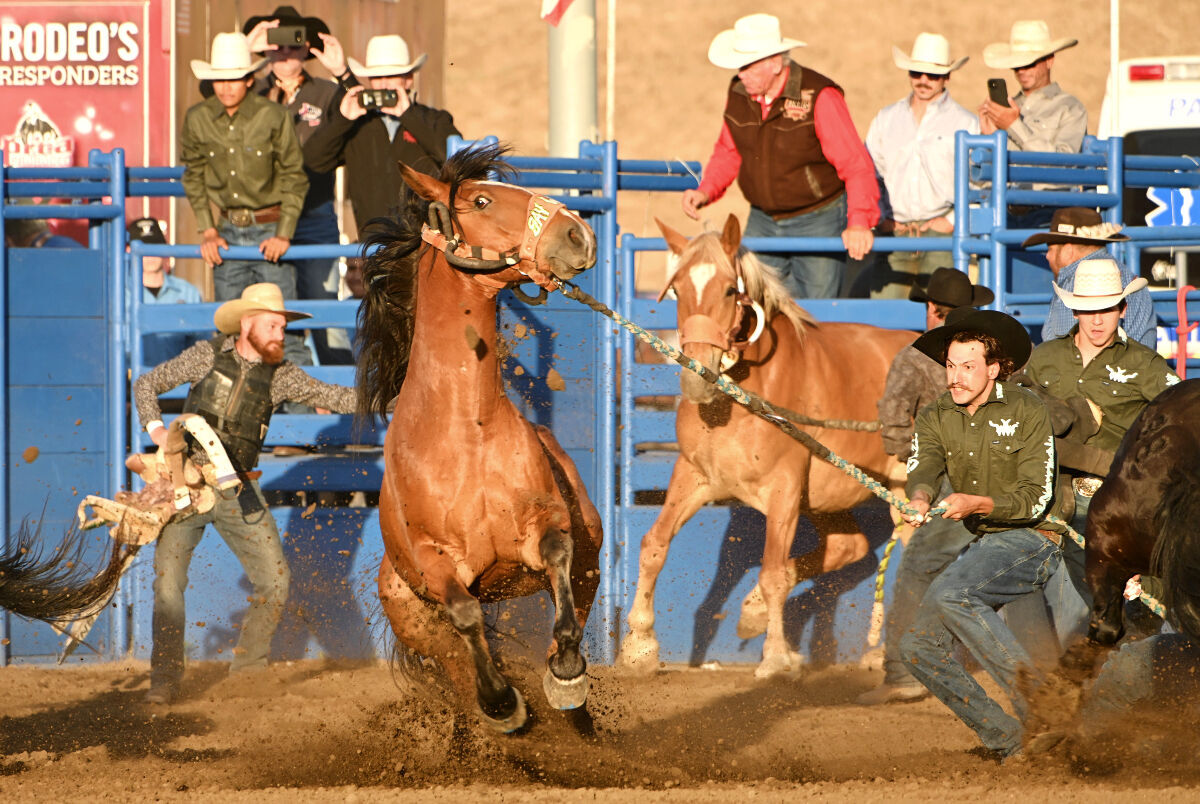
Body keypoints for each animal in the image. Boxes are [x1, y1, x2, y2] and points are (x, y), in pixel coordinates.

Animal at [352, 146, 600, 739]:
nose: (579, 233)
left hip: (594, 558)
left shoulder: (549, 521)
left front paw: (565, 671)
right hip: (420, 626)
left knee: (577, 597)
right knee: (461, 666)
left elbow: (555, 553)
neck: (467, 431)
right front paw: (504, 704)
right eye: (482, 200)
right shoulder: (436, 561)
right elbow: (465, 614)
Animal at [619, 216, 907, 681]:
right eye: (677, 289)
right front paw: (639, 645)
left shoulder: (784, 488)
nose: (695, 377)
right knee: (851, 548)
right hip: (831, 495)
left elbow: (772, 572)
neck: (741, 396)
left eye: (728, 290)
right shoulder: (694, 475)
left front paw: (775, 657)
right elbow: (654, 545)